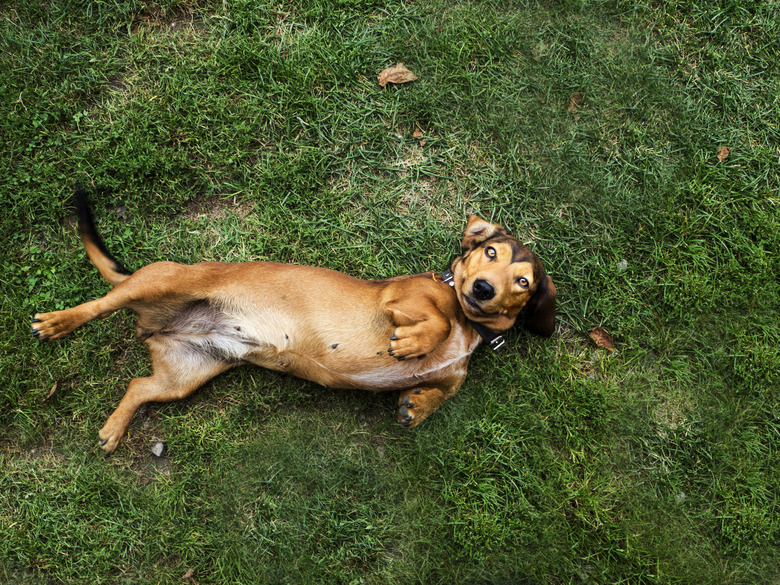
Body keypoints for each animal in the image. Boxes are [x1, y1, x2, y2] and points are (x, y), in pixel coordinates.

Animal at [32, 192, 556, 452]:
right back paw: (58, 322)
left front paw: (419, 405)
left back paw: (113, 429)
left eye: (523, 281)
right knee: (100, 303)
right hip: (160, 284)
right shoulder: (402, 301)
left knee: (138, 385)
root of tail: (158, 322)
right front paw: (414, 344)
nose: (483, 289)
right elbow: (436, 323)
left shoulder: (452, 372)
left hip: (184, 375)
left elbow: (446, 391)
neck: (470, 324)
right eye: (490, 253)